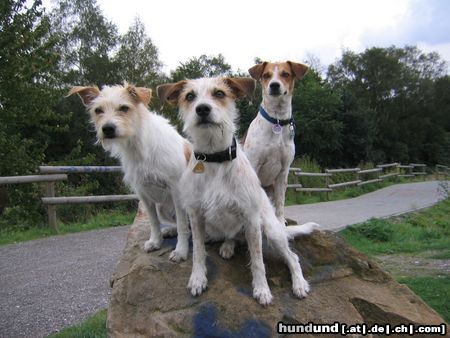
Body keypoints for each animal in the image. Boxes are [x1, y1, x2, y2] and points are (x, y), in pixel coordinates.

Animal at [67, 84, 191, 262]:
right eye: (98, 110)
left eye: (124, 108)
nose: (108, 128)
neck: (138, 145)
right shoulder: (144, 194)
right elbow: (154, 222)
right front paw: (155, 241)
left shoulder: (176, 190)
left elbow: (182, 224)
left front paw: (181, 250)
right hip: (161, 207)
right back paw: (169, 230)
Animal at [158, 78, 312, 304]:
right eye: (189, 96)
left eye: (219, 93)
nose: (202, 109)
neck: (214, 158)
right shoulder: (195, 215)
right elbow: (198, 252)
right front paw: (197, 279)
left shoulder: (251, 219)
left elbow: (257, 260)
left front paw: (262, 289)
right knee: (228, 237)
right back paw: (226, 244)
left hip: (271, 229)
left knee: (293, 257)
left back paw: (299, 283)